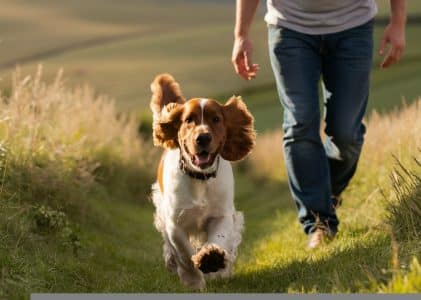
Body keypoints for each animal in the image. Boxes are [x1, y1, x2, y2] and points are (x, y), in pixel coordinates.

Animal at [151, 72, 256, 288]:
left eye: (216, 119)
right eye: (188, 120)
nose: (203, 138)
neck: (200, 178)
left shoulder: (221, 214)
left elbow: (219, 237)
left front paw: (211, 258)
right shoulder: (174, 222)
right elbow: (184, 253)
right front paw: (193, 280)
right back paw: (172, 261)